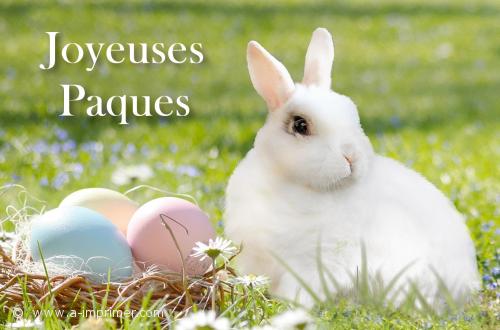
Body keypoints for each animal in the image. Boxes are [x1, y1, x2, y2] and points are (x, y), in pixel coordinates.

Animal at [224, 27, 480, 308]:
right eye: (300, 125)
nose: (351, 157)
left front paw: (290, 305)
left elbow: (300, 290)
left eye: (353, 116)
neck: (289, 183)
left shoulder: (315, 263)